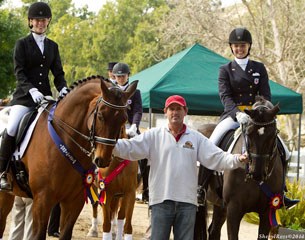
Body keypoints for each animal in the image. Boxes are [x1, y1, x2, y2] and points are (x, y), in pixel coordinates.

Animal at [0, 75, 137, 240]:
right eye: (100, 116)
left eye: (124, 119)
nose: (103, 159)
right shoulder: (42, 200)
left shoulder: (74, 201)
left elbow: (66, 233)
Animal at [195, 96, 282, 240]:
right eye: (249, 133)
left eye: (273, 135)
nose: (257, 173)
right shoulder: (233, 210)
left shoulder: (267, 212)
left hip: (220, 205)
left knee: (214, 231)